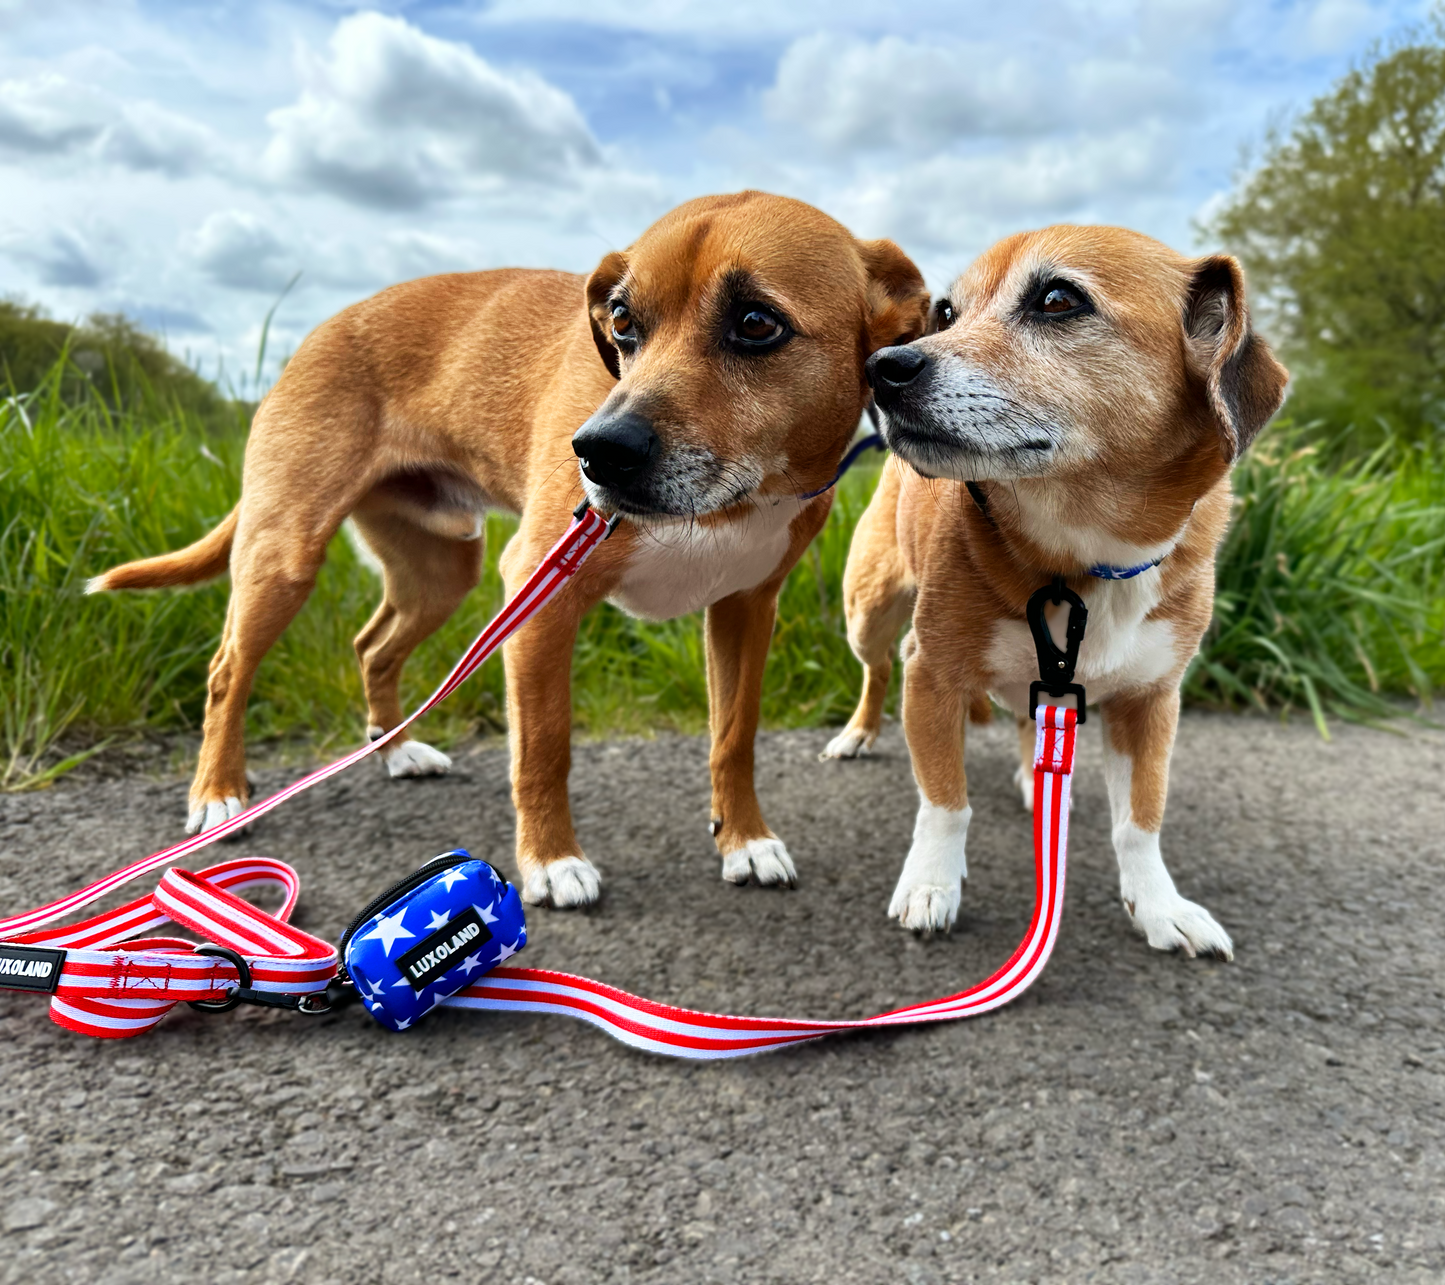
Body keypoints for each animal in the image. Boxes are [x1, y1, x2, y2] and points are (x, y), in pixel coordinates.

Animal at [826, 222, 1288, 953]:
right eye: (946, 312)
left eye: (1057, 300)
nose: (881, 369)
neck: (1084, 554)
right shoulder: (930, 674)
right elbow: (946, 802)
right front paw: (931, 883)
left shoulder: (1150, 702)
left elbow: (1139, 820)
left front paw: (1159, 904)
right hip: (869, 614)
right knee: (875, 673)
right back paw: (858, 735)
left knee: (1027, 716)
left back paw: (1032, 777)